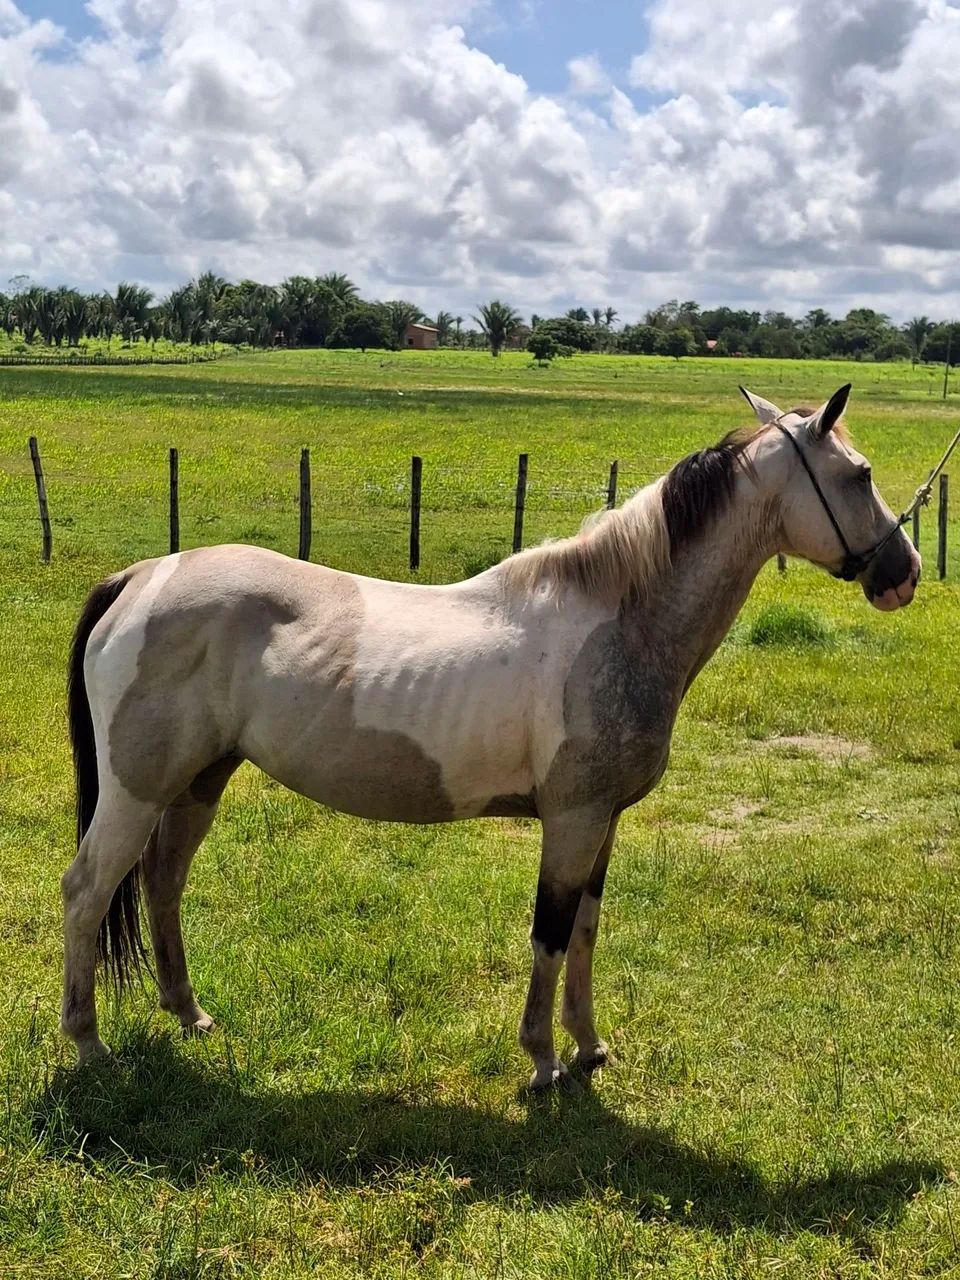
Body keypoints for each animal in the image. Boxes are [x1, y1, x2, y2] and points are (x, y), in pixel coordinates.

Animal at [62, 384, 920, 1089]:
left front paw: (588, 1047)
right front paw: (542, 1060)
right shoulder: (572, 821)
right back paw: (89, 1044)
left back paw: (189, 1014)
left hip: (200, 781)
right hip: (136, 790)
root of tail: (139, 578)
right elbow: (549, 933)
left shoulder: (602, 824)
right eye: (859, 474)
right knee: (88, 889)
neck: (620, 621)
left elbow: (585, 931)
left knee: (162, 882)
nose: (903, 573)